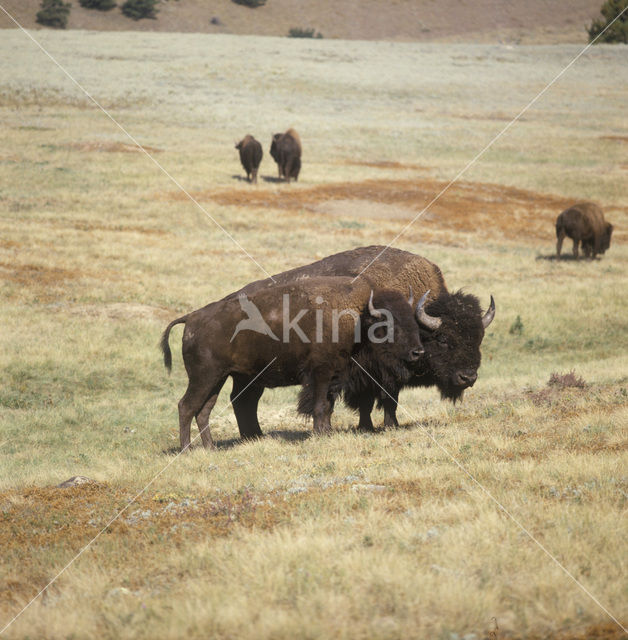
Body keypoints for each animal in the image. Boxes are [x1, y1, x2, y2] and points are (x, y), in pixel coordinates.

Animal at [162, 278, 426, 452]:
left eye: (412, 319)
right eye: (389, 325)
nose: (418, 352)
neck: (358, 316)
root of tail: (191, 318)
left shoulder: (334, 376)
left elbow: (328, 406)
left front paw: (326, 432)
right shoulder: (320, 373)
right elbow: (319, 406)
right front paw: (320, 434)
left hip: (218, 378)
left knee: (203, 410)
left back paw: (211, 448)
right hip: (204, 377)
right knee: (186, 406)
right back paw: (186, 450)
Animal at [224, 245, 496, 436]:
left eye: (479, 338)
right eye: (442, 339)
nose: (468, 377)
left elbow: (385, 401)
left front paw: (381, 426)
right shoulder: (365, 373)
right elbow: (373, 400)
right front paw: (378, 426)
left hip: (249, 376)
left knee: (244, 401)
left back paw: (253, 436)